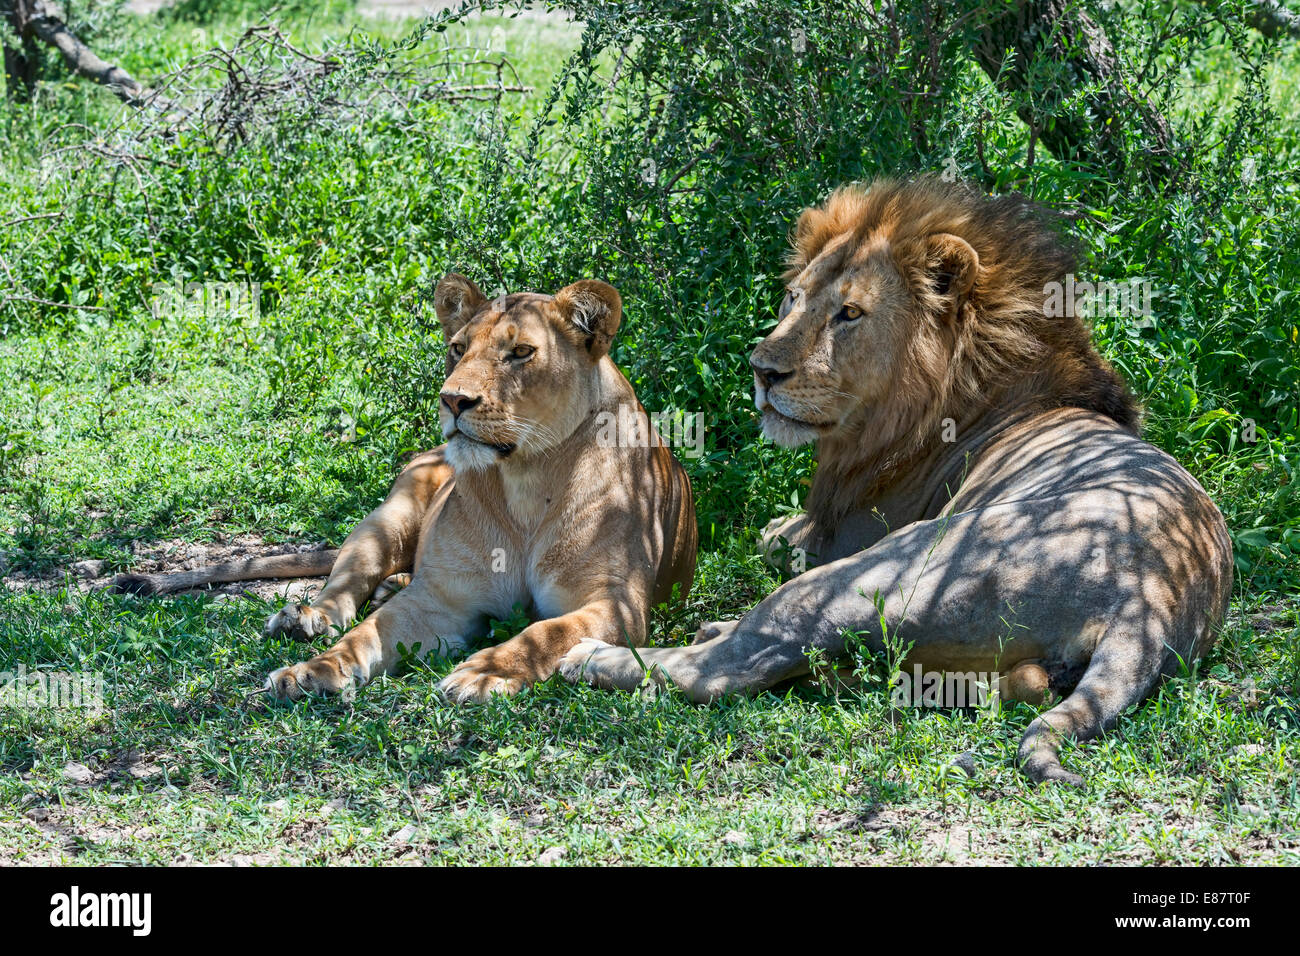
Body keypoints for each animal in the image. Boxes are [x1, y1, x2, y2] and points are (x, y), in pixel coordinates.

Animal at [113, 274, 702, 702]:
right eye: (458, 348)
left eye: (520, 353)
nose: (453, 399)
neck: (526, 485)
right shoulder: (440, 599)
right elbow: (366, 634)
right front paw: (315, 670)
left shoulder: (617, 605)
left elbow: (543, 632)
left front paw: (483, 672)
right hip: (386, 519)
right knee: (344, 588)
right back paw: (305, 620)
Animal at [564, 178, 1232, 785]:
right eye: (792, 300)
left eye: (849, 313)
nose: (762, 371)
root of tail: (1149, 605)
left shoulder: (842, 534)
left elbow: (771, 539)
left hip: (890, 566)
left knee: (726, 667)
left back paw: (593, 657)